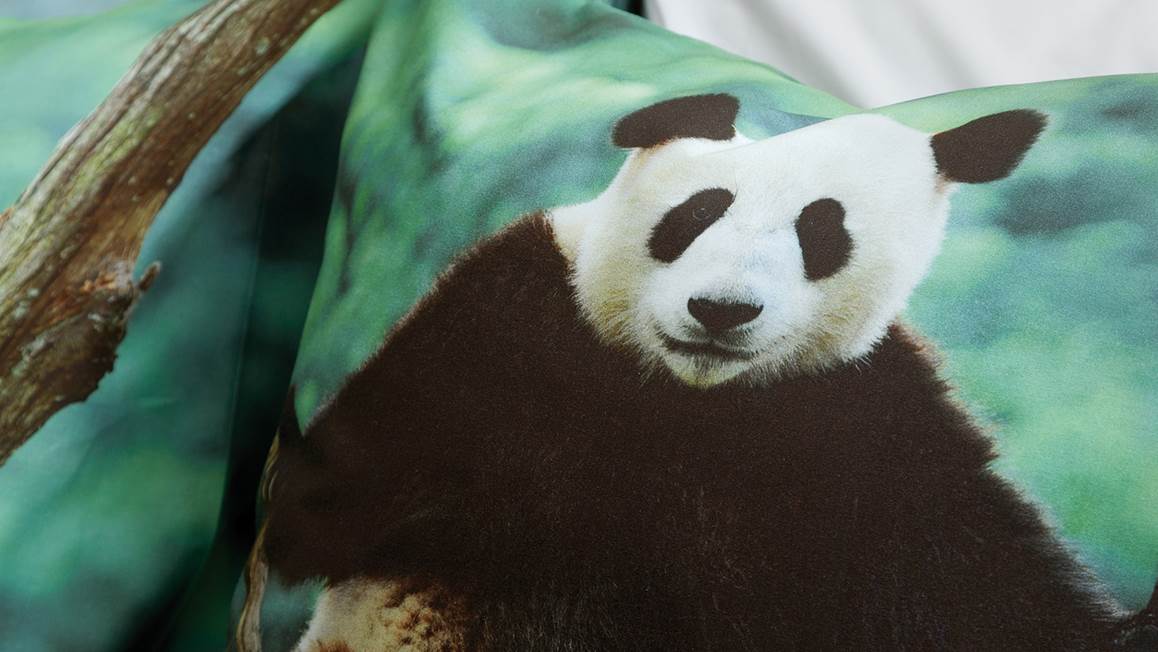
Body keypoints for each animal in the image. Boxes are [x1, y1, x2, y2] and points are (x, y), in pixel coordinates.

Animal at [244, 94, 1155, 651]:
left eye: (822, 231)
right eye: (697, 213)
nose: (721, 310)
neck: (689, 401)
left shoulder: (865, 422)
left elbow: (985, 593)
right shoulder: (509, 323)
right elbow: (324, 513)